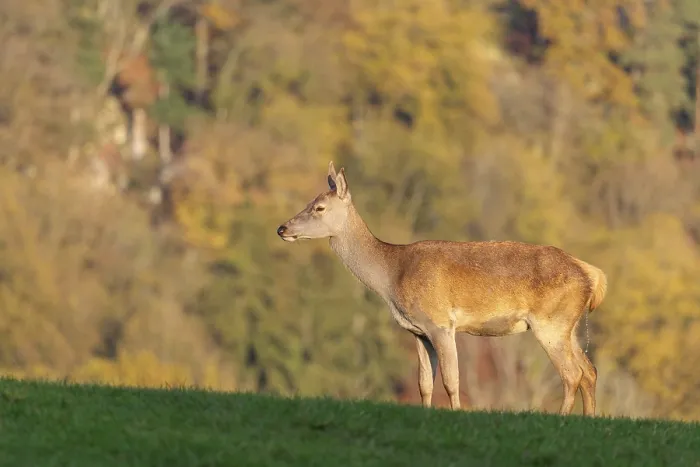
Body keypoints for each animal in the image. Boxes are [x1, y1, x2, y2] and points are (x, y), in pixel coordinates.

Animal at [276, 162, 607, 416]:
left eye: (319, 207)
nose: (282, 228)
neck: (392, 275)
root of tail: (592, 274)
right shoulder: (418, 331)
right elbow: (425, 383)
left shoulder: (440, 322)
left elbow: (451, 379)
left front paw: (458, 414)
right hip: (568, 326)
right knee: (589, 371)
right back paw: (588, 419)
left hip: (550, 322)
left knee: (572, 374)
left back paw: (562, 418)